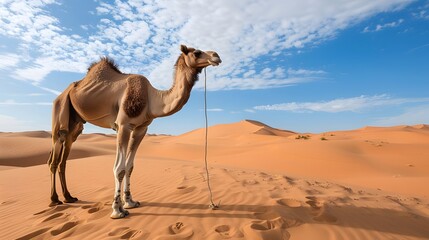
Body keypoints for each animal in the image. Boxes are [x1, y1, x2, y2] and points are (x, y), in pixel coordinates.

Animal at [46, 44, 221, 218]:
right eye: (197, 52)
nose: (216, 56)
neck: (151, 98)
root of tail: (61, 94)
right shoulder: (123, 125)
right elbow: (119, 169)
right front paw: (117, 210)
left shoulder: (140, 128)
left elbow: (129, 167)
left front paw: (130, 202)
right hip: (60, 110)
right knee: (54, 155)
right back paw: (54, 200)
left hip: (75, 124)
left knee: (64, 157)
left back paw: (69, 197)